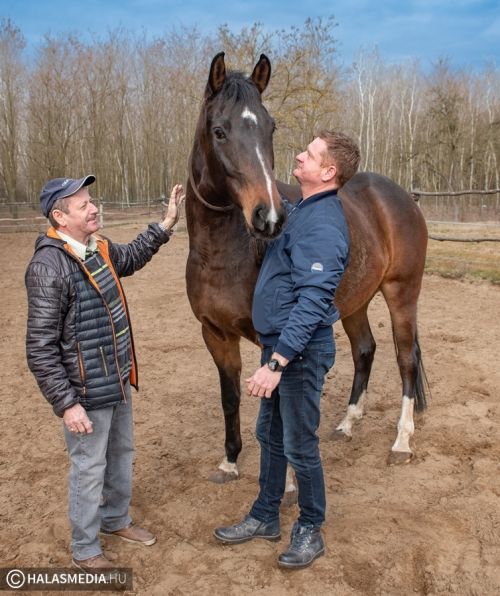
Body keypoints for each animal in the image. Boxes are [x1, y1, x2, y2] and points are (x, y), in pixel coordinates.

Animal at [185, 52, 429, 486]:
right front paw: (229, 462)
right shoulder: (215, 334)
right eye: (219, 131)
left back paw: (401, 442)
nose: (268, 217)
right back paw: (347, 423)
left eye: (270, 127)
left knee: (406, 359)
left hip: (402, 293)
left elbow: (278, 406)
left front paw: (284, 482)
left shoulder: (273, 338)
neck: (222, 253)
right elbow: (230, 397)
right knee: (365, 349)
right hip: (355, 302)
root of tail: (401, 196)